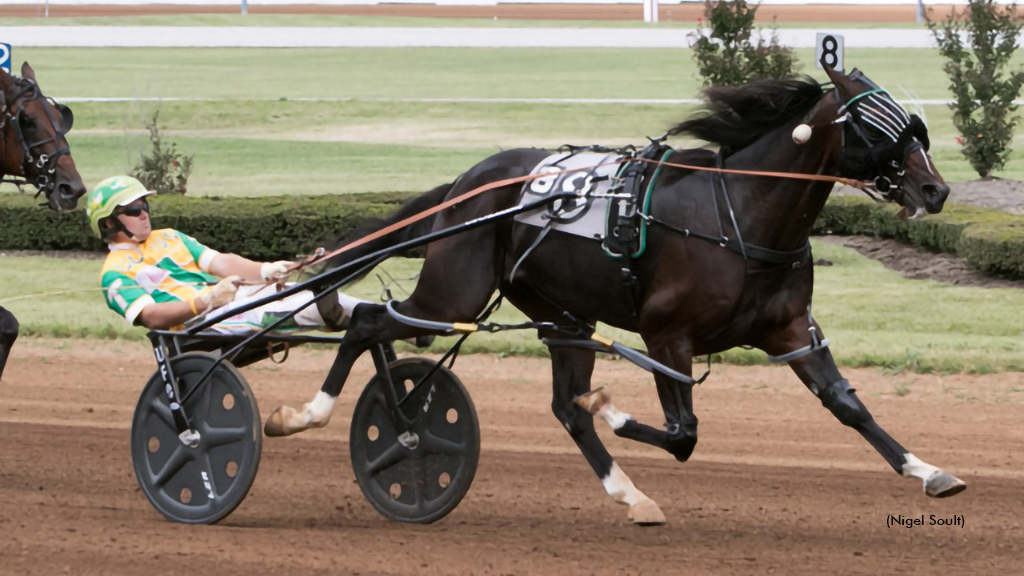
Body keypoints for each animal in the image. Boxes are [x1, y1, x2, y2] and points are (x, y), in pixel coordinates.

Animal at [268, 65, 962, 522]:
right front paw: (615, 407)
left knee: (564, 407)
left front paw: (930, 471)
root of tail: (468, 182)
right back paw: (310, 415)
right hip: (453, 297)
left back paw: (632, 494)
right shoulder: (665, 333)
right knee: (367, 323)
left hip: (560, 314)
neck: (739, 213)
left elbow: (847, 405)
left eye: (912, 123)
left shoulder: (790, 331)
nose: (936, 191)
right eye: (874, 124)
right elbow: (682, 433)